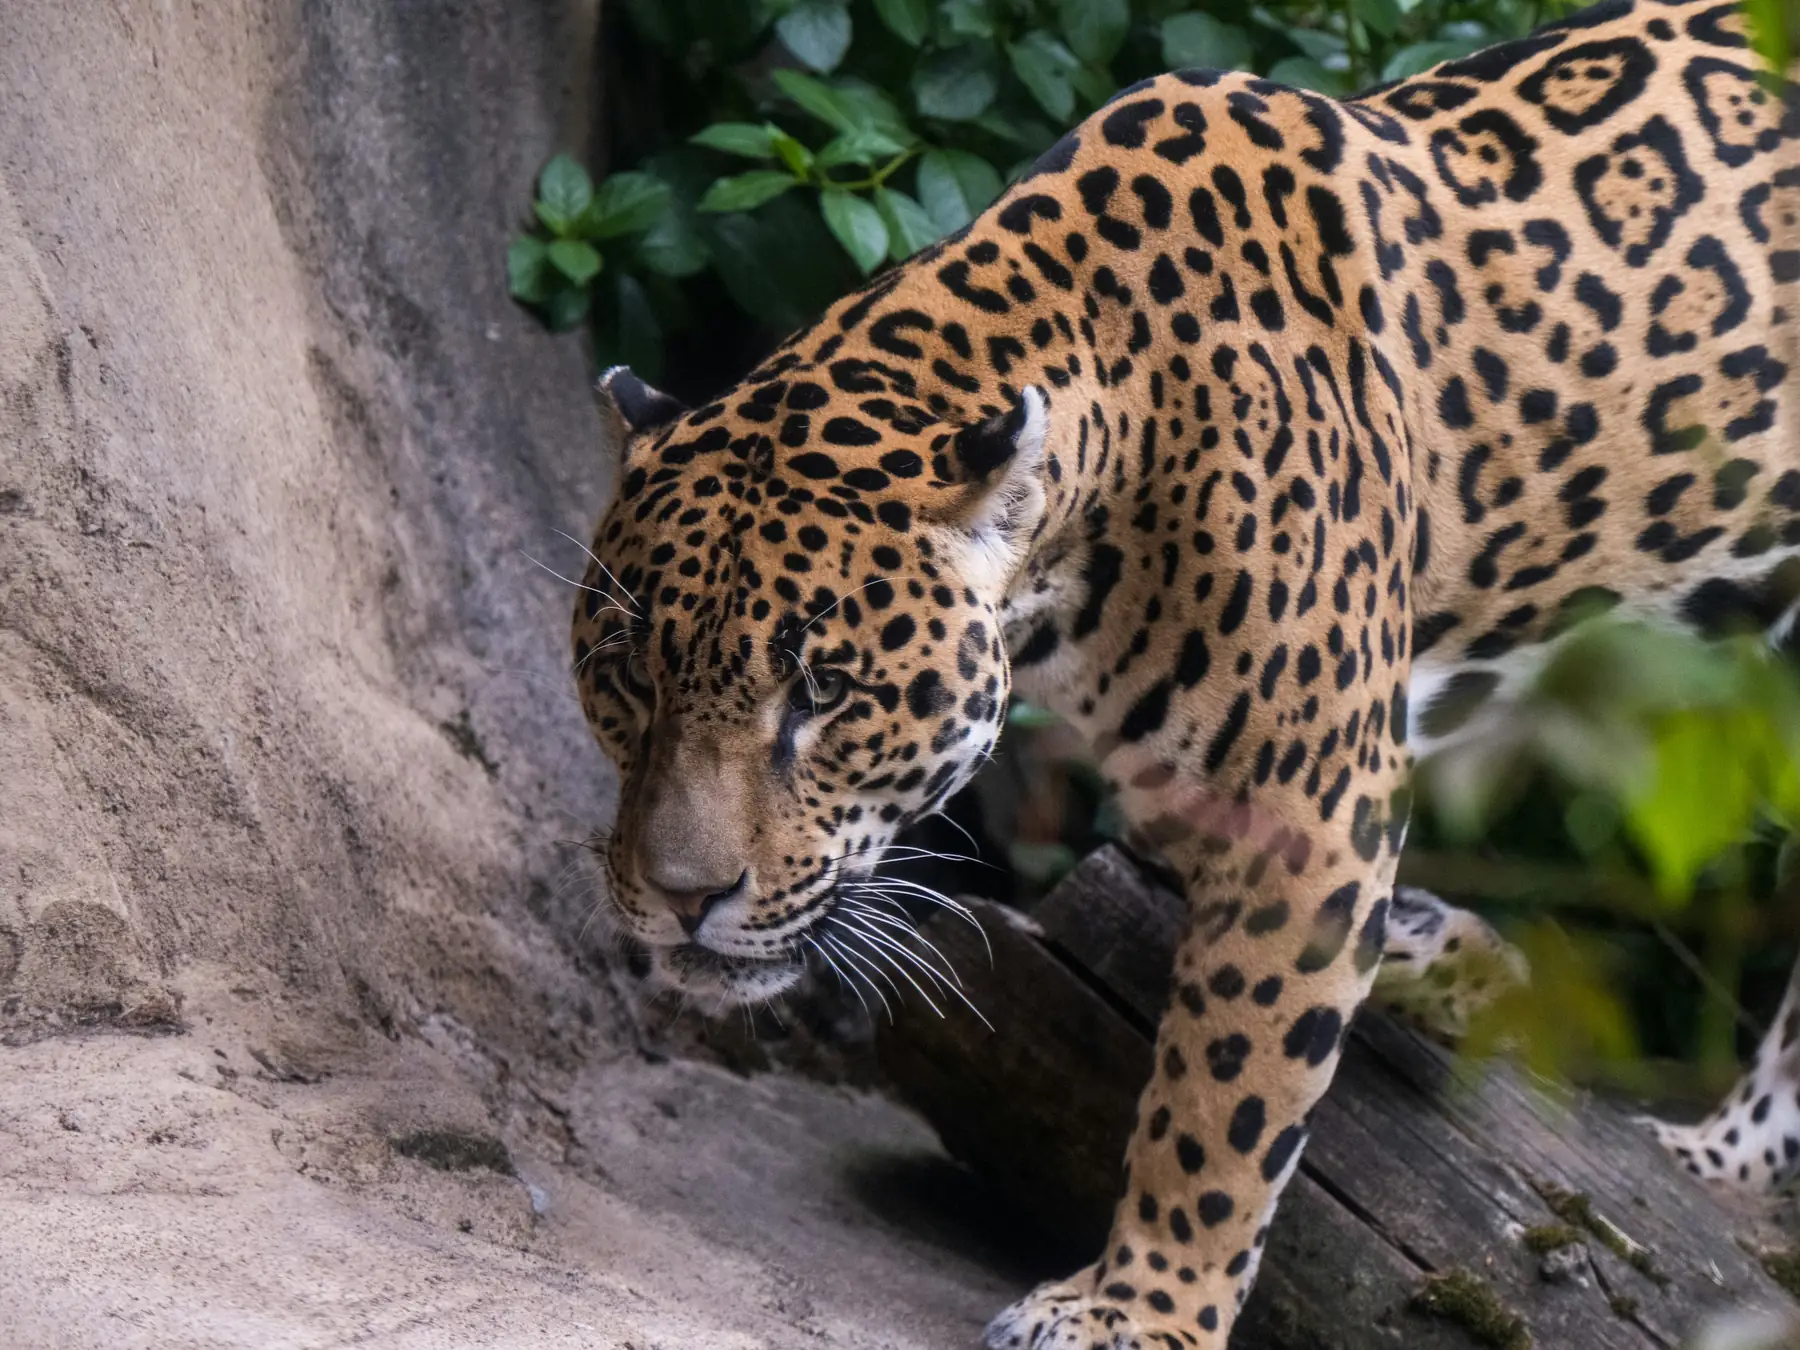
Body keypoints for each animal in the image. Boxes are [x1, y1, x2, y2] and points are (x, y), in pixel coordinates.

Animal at [569, 0, 1800, 1342]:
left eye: (825, 695)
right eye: (628, 678)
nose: (681, 900)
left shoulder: (1304, 808)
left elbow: (1223, 1097)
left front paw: (1140, 1307)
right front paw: (1458, 957)